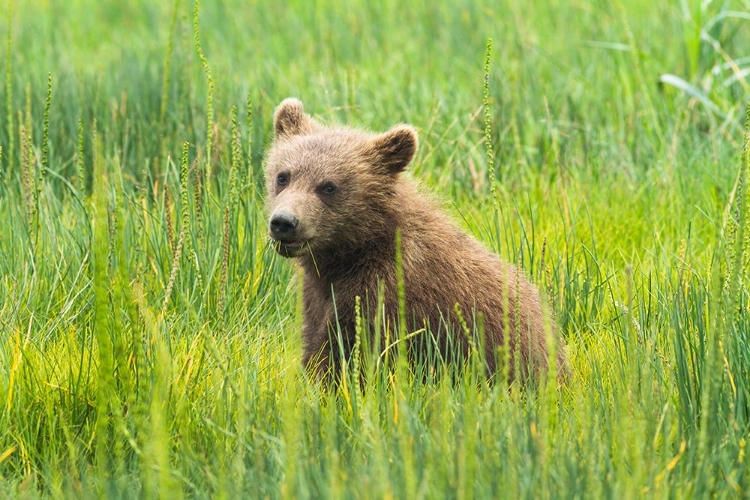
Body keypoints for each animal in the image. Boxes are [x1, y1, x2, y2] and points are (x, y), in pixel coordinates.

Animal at [268, 99, 568, 384]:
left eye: (328, 186)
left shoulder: (384, 293)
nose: (284, 222)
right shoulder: (316, 295)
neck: (350, 254)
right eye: (283, 176)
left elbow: (349, 352)